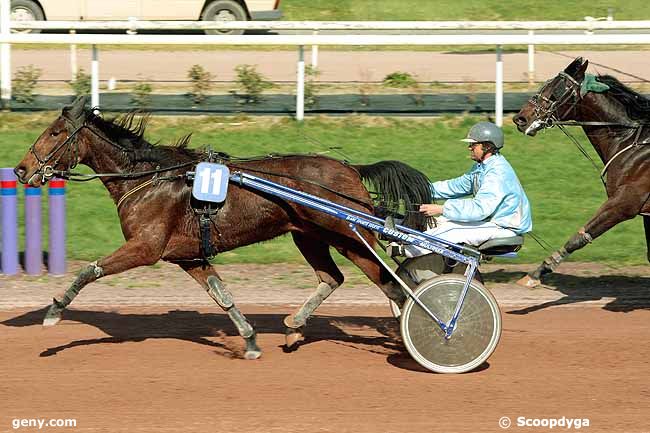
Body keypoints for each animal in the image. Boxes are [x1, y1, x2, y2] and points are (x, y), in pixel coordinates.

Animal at [12, 97, 430, 358]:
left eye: (53, 132)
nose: (20, 169)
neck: (148, 178)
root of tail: (349, 168)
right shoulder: (188, 257)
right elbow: (222, 296)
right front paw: (250, 340)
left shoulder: (145, 248)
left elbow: (89, 270)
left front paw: (53, 311)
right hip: (308, 236)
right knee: (332, 278)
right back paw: (294, 327)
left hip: (349, 237)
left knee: (390, 283)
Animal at [512, 57, 648, 286]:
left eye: (555, 90)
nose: (521, 118)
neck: (630, 141)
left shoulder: (624, 203)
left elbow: (579, 237)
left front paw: (538, 272)